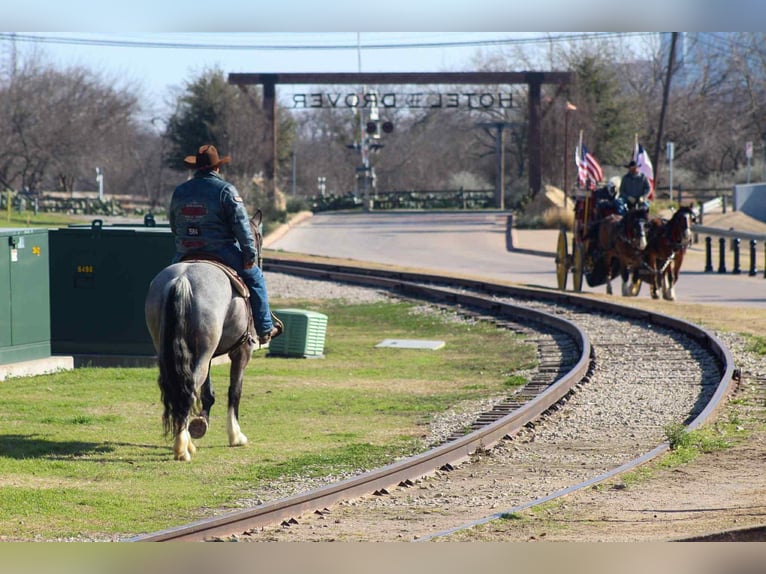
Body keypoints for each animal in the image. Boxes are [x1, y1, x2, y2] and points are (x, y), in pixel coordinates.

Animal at [144, 214, 264, 461]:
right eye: (258, 237)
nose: (256, 260)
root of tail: (182, 279)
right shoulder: (241, 351)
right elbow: (234, 391)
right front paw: (236, 435)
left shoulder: (207, 355)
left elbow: (208, 392)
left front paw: (201, 422)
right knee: (189, 389)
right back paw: (183, 448)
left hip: (173, 350)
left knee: (179, 387)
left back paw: (185, 440)